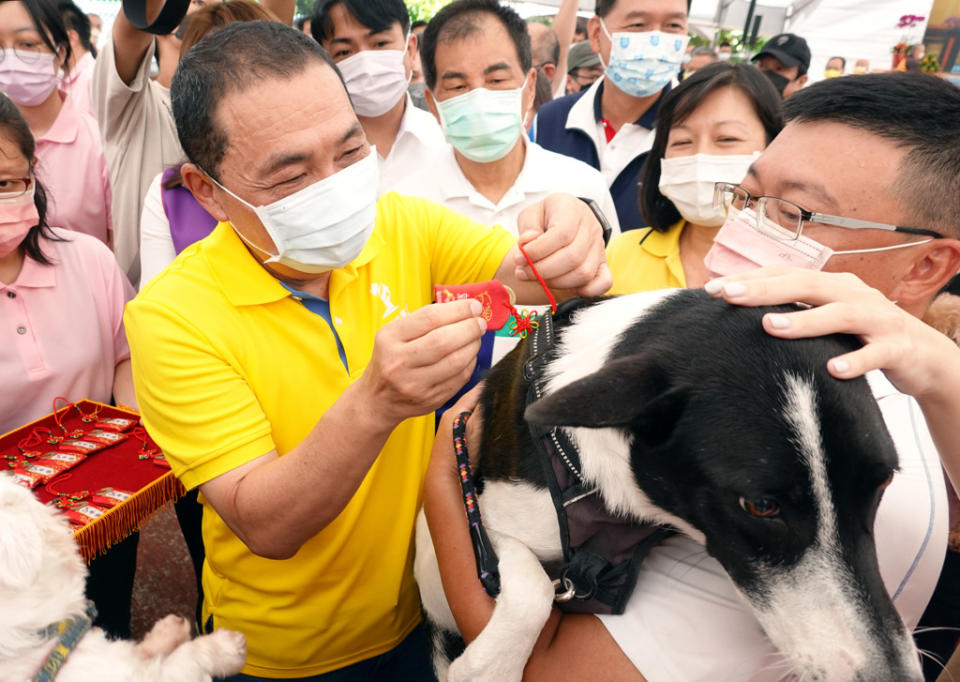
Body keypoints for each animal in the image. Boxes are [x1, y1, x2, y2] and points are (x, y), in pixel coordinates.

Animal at [416, 286, 928, 680]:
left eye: (882, 482)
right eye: (760, 506)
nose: (895, 677)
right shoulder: (468, 528)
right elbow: (533, 591)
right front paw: (491, 667)